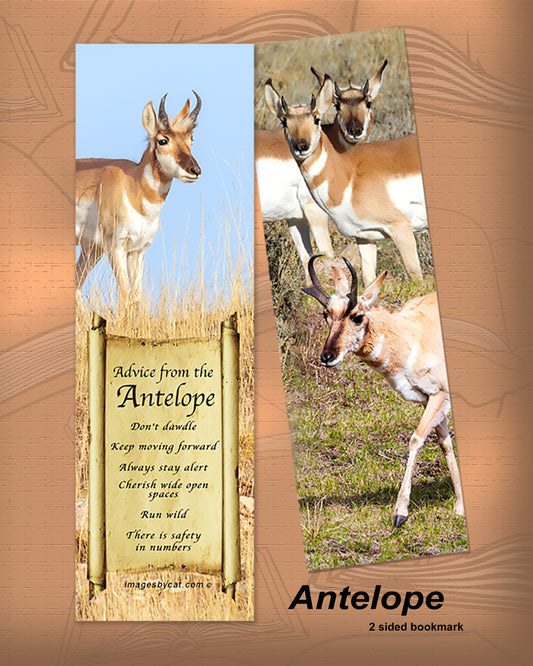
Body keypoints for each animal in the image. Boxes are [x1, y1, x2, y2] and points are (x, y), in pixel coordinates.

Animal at [76, 93, 202, 304]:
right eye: (163, 140)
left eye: (191, 138)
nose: (195, 171)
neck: (132, 185)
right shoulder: (116, 248)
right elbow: (125, 294)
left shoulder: (137, 250)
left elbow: (136, 297)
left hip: (92, 250)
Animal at [255, 61, 388, 284]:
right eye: (338, 105)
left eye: (368, 102)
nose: (355, 131)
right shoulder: (315, 212)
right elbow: (327, 254)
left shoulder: (295, 218)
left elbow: (306, 259)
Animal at [265, 75, 428, 286]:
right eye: (284, 122)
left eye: (316, 119)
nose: (301, 146)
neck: (348, 174)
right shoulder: (364, 237)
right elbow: (368, 280)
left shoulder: (401, 229)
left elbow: (416, 277)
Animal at [303, 255, 464, 527]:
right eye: (326, 314)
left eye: (357, 316)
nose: (327, 357)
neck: (410, 335)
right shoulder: (430, 400)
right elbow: (444, 443)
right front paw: (461, 506)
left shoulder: (441, 395)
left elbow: (416, 438)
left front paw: (400, 512)